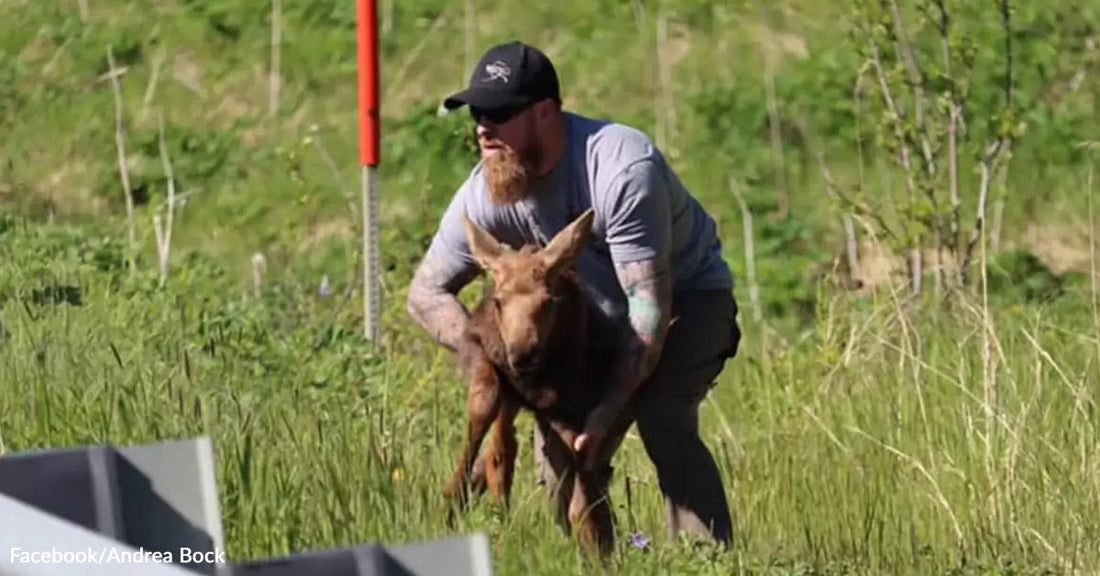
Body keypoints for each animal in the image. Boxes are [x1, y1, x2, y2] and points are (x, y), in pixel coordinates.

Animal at [442, 207, 617, 558]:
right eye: (498, 301)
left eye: (549, 301)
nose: (522, 354)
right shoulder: (486, 358)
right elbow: (484, 409)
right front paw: (454, 500)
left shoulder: (567, 399)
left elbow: (575, 460)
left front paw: (591, 538)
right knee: (500, 446)